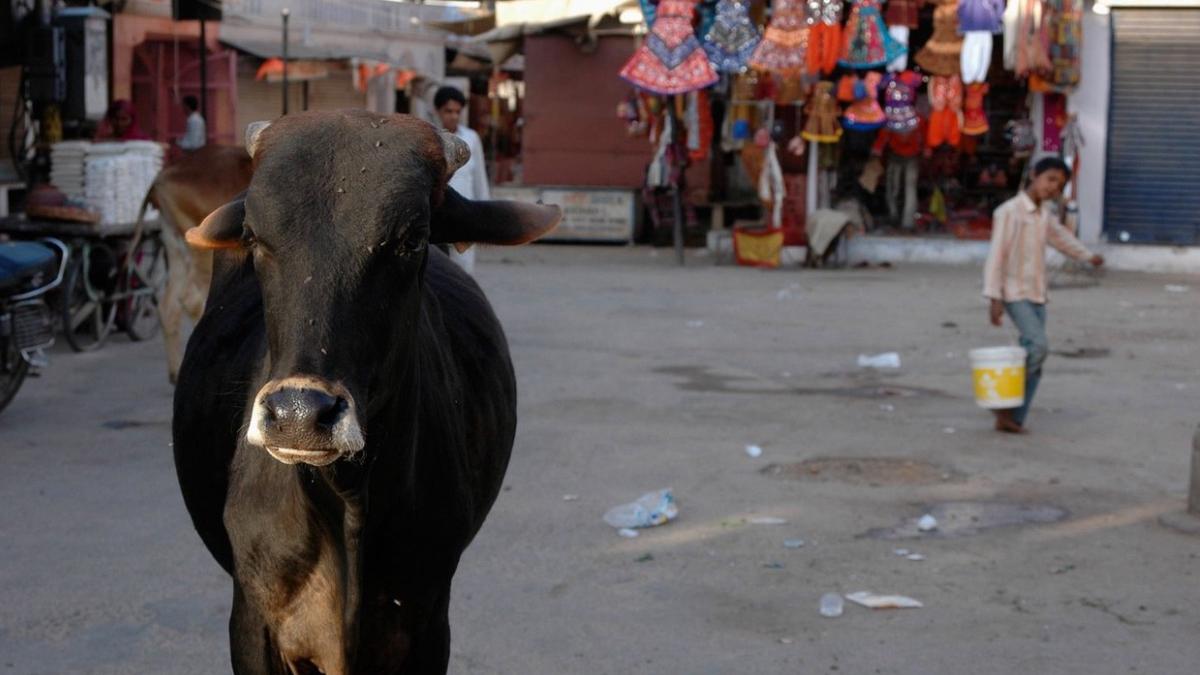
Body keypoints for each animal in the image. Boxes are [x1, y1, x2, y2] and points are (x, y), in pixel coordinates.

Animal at [137, 145, 253, 382]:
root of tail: (161, 178)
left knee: (169, 306)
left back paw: (175, 373)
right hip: (203, 256)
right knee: (194, 302)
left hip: (175, 246)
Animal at [172, 110, 559, 674]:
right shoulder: (252, 625)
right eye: (254, 236)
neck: (346, 501)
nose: (298, 413)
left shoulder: (427, 624)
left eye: (411, 240)